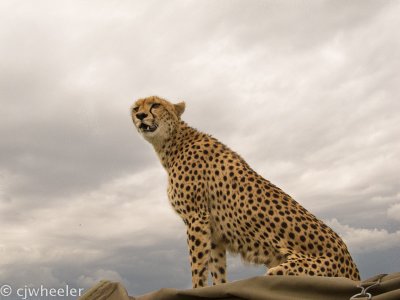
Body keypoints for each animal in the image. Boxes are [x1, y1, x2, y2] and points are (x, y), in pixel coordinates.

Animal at [130, 96, 360, 288]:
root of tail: (354, 268)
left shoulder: (196, 218)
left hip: (284, 272)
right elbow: (217, 270)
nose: (140, 116)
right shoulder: (213, 232)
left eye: (155, 105)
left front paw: (196, 289)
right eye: (135, 108)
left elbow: (197, 267)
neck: (173, 142)